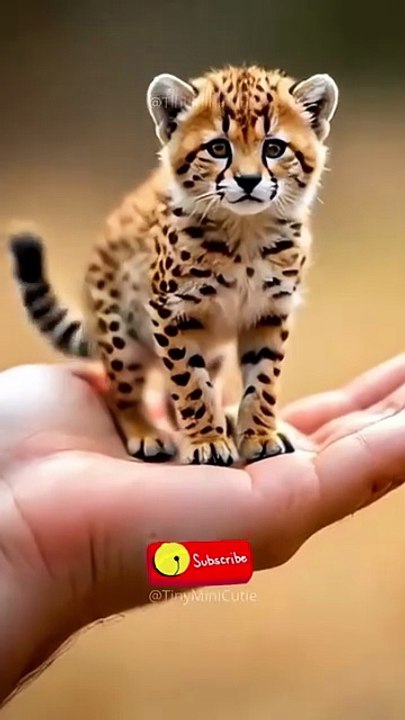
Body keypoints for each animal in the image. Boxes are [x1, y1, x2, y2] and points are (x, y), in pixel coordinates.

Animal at [9, 64, 338, 466]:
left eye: (274, 148)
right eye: (218, 148)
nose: (248, 181)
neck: (245, 230)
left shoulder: (269, 311)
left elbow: (262, 380)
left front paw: (258, 434)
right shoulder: (171, 312)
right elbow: (190, 384)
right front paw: (208, 441)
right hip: (121, 334)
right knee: (120, 392)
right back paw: (146, 431)